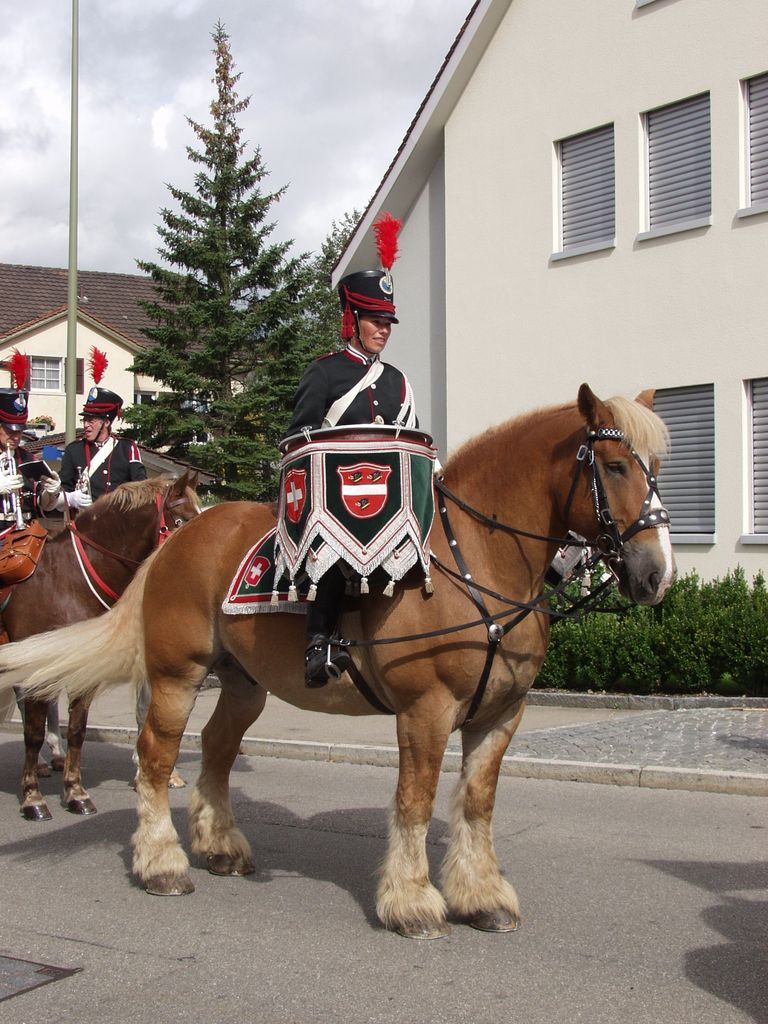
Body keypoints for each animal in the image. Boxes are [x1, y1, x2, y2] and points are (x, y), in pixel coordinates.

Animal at [3, 468, 199, 815]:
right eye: (182, 521)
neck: (66, 582)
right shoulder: (35, 667)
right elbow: (33, 733)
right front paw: (32, 798)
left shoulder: (86, 669)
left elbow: (78, 730)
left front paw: (76, 792)